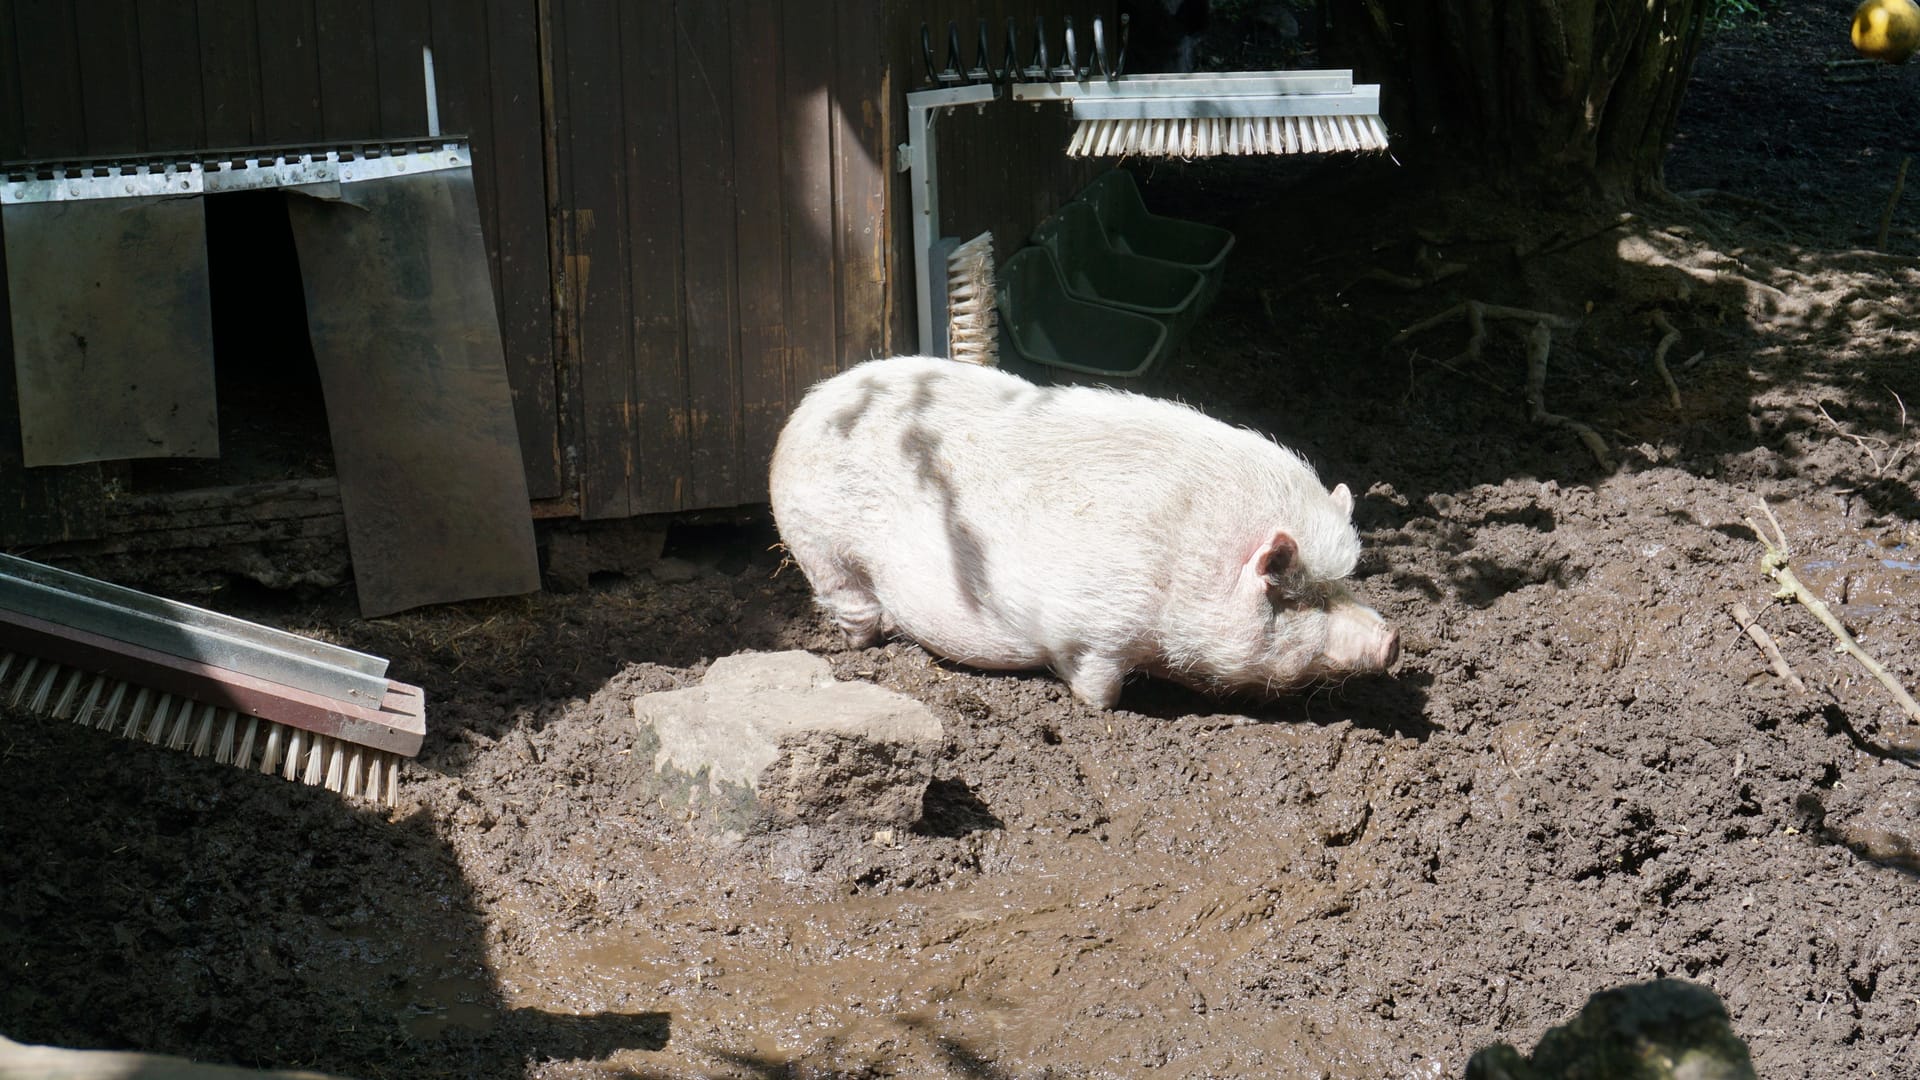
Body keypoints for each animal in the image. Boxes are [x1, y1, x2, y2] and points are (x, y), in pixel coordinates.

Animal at [764, 355, 1397, 707]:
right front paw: (1104, 709)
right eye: (1297, 595)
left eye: (1342, 584)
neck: (1187, 565)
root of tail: (810, 408)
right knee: (852, 611)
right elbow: (1098, 687)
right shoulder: (1093, 633)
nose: (1392, 638)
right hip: (826, 550)